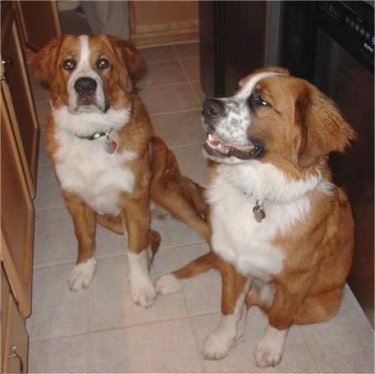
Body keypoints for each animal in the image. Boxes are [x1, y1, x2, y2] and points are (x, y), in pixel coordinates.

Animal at [30, 35, 210, 308]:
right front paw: (84, 270)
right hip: (106, 216)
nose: (84, 86)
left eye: (103, 63)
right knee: (154, 235)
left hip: (166, 192)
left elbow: (134, 250)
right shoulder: (75, 201)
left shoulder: (133, 202)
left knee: (209, 236)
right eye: (68, 64)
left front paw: (142, 286)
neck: (93, 135)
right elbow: (84, 239)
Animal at [157, 65, 356, 366]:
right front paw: (221, 339)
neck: (258, 195)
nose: (207, 106)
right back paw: (171, 281)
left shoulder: (296, 280)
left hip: (320, 306)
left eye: (261, 101)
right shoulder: (232, 259)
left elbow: (279, 318)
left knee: (258, 303)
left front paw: (269, 348)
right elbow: (228, 306)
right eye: (237, 89)